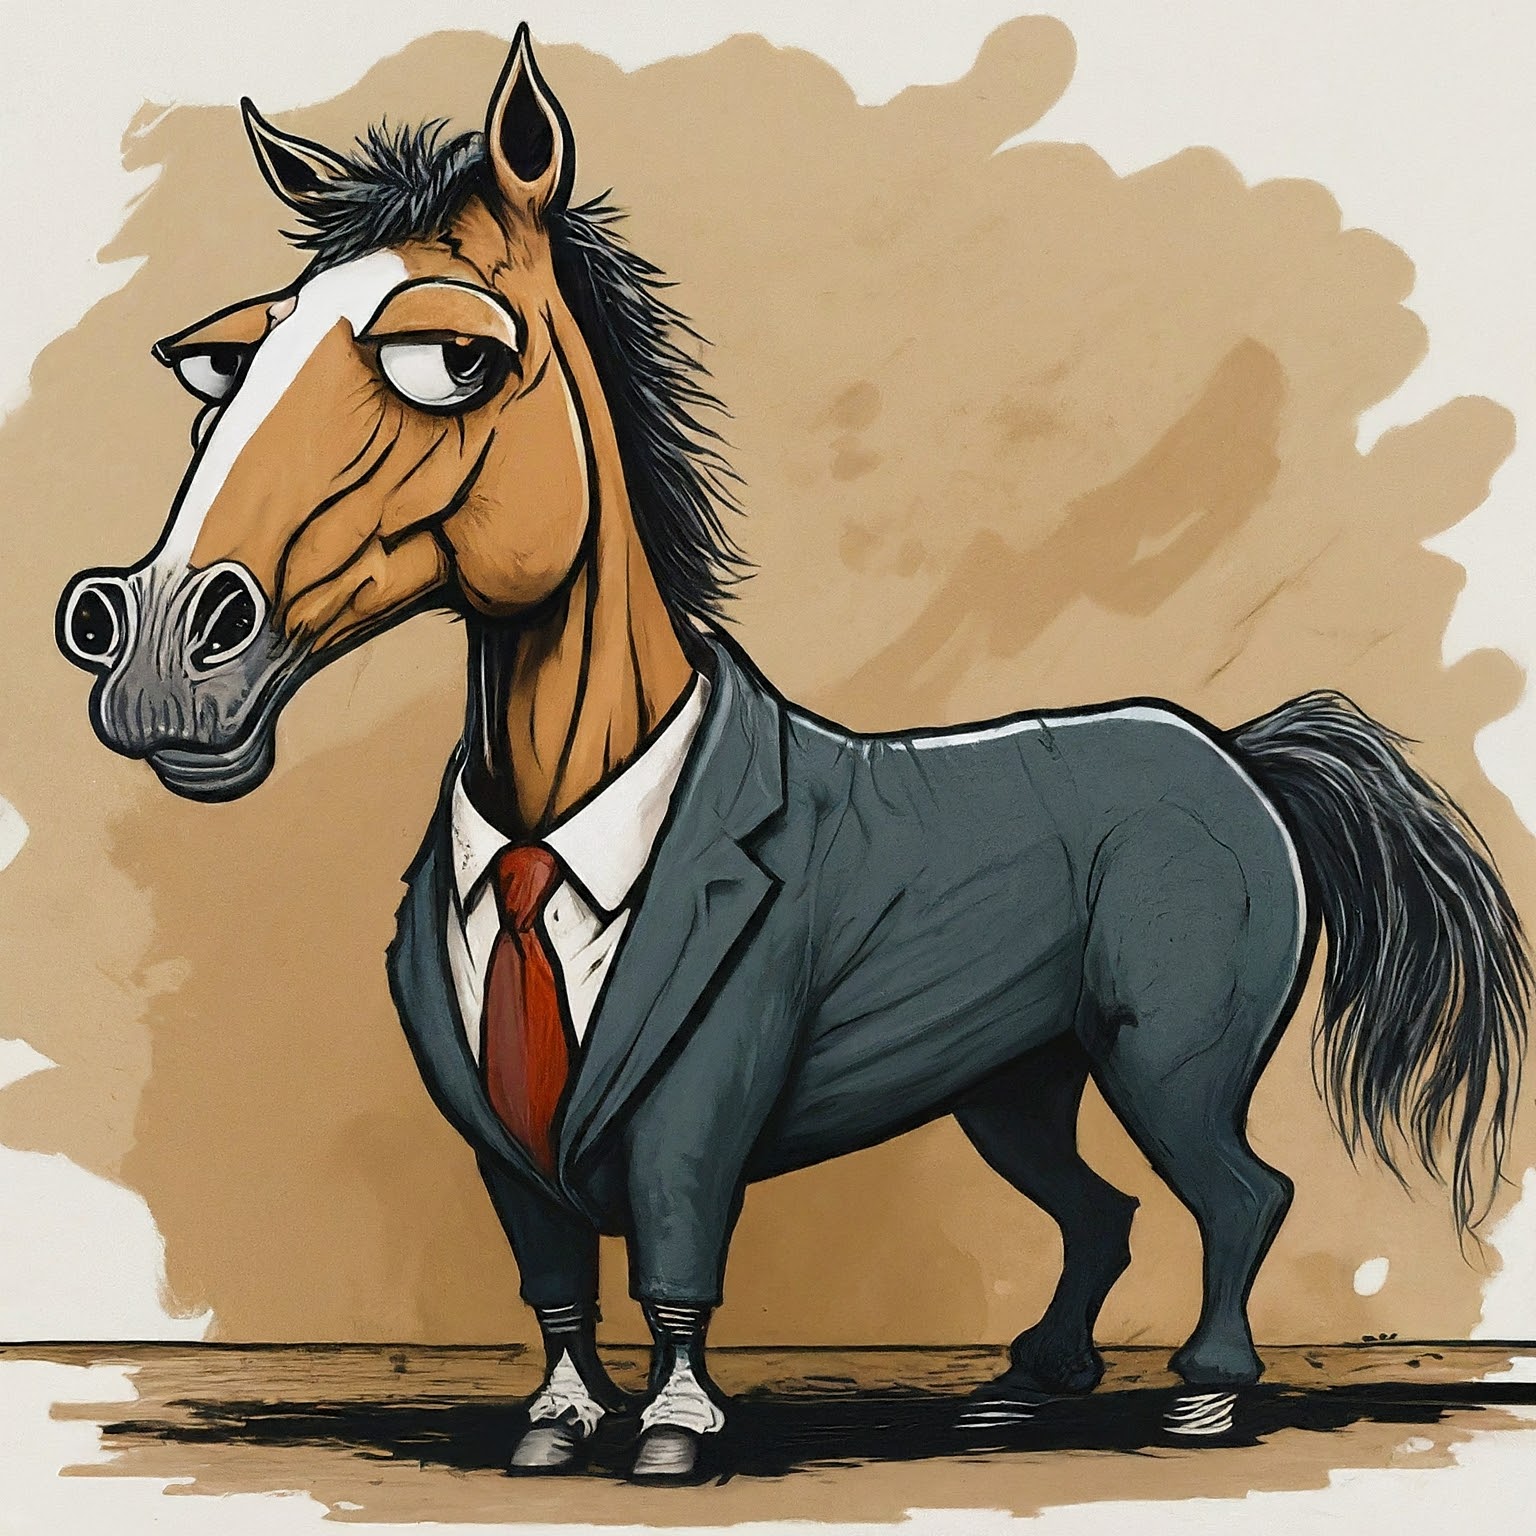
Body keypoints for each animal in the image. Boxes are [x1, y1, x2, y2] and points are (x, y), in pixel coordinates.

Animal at [58, 25, 1529, 1482]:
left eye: (447, 359)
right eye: (220, 367)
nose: (156, 651)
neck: (554, 827)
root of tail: (1236, 751)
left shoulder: (700, 1094)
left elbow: (677, 1255)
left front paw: (674, 1430)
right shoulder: (500, 1142)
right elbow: (554, 1279)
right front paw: (556, 1422)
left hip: (1169, 1061)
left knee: (1240, 1193)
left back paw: (1206, 1394)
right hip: (1015, 1082)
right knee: (1101, 1212)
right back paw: (1024, 1385)